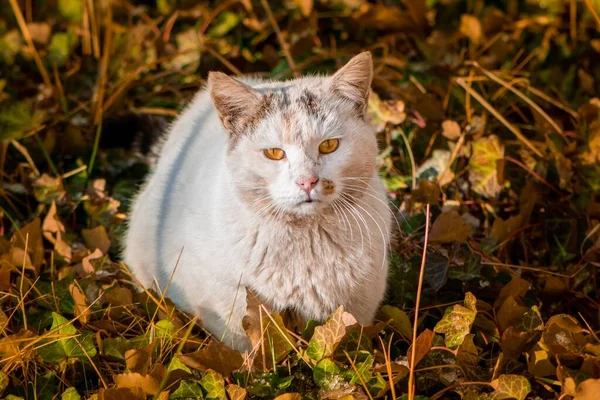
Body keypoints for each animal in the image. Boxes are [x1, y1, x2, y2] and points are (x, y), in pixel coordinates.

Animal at [123, 51, 394, 352]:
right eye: (275, 153)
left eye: (328, 146)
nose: (307, 181)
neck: (305, 239)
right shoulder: (228, 311)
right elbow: (250, 348)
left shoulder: (357, 311)